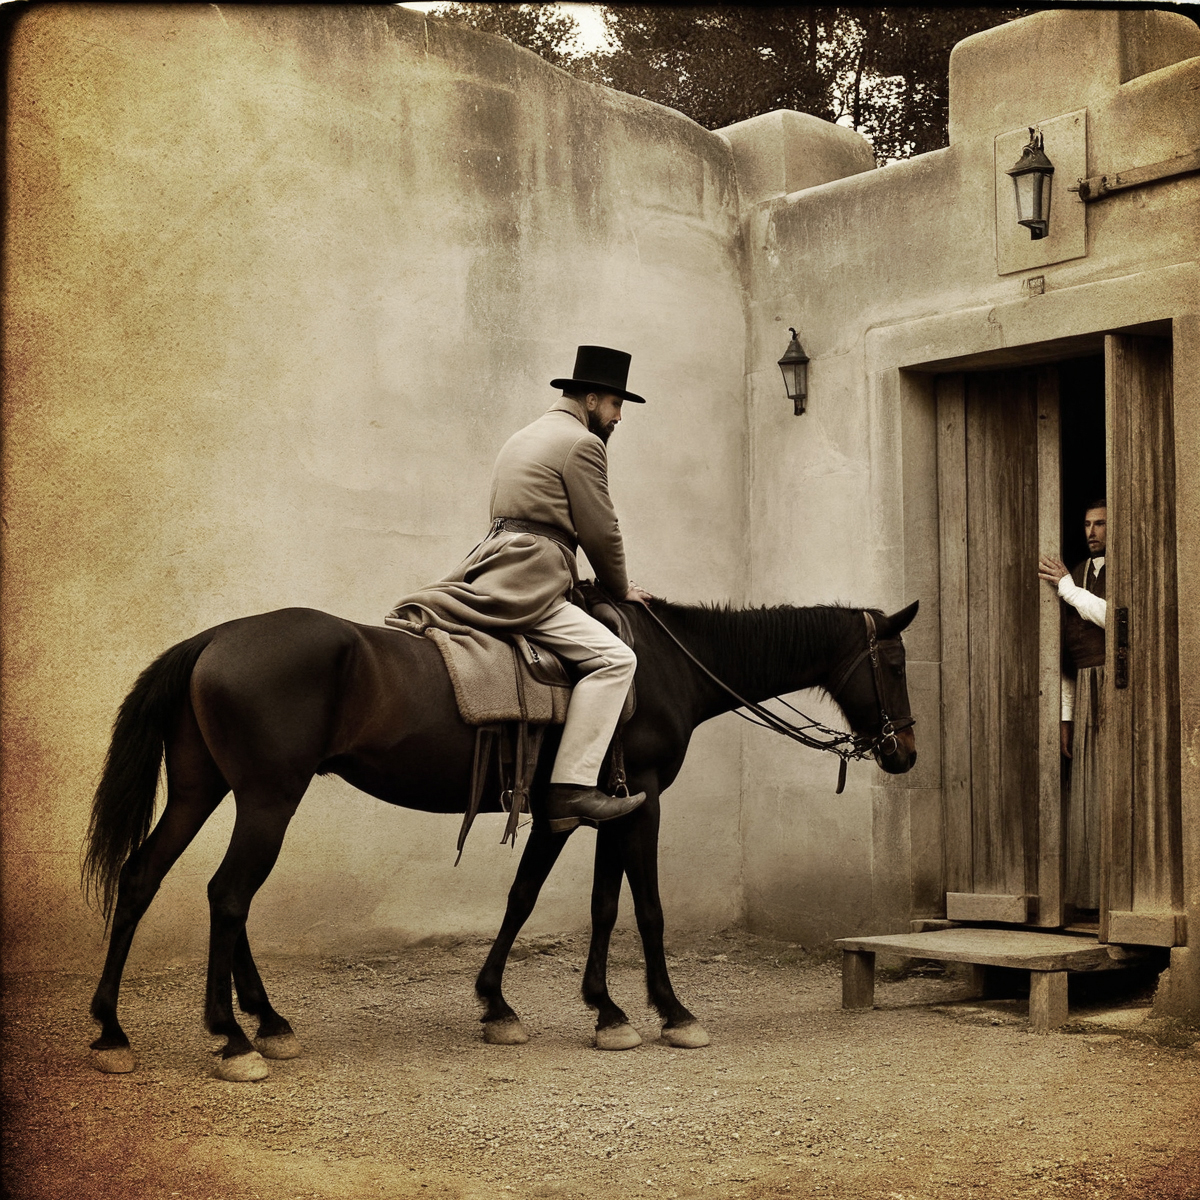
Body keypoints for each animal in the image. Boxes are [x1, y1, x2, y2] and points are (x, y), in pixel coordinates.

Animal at [83, 597, 918, 1080]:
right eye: (896, 661)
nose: (904, 752)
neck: (662, 666)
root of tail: (212, 638)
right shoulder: (640, 803)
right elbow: (643, 910)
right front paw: (670, 1012)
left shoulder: (581, 808)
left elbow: (558, 902)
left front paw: (559, 1008)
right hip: (266, 798)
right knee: (228, 895)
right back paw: (231, 1037)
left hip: (207, 792)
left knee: (148, 879)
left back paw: (129, 1029)